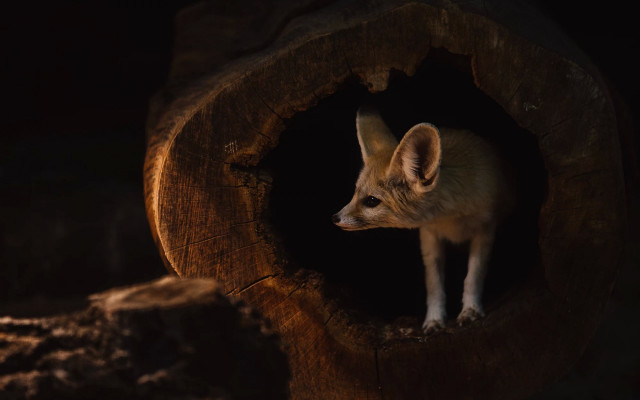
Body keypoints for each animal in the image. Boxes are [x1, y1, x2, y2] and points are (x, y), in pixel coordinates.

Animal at [332, 106, 514, 335]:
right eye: (355, 193)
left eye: (371, 201)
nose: (335, 218)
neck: (449, 219)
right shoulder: (429, 235)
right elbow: (434, 284)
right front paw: (434, 320)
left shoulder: (485, 229)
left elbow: (474, 275)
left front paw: (470, 310)